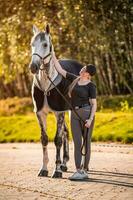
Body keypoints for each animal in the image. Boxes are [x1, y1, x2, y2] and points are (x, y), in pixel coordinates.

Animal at [29, 24, 82, 177]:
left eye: (45, 44)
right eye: (32, 44)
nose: (33, 67)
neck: (47, 82)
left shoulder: (59, 112)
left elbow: (57, 139)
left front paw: (56, 170)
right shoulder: (40, 113)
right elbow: (45, 139)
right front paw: (44, 168)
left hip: (70, 111)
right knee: (66, 133)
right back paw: (64, 163)